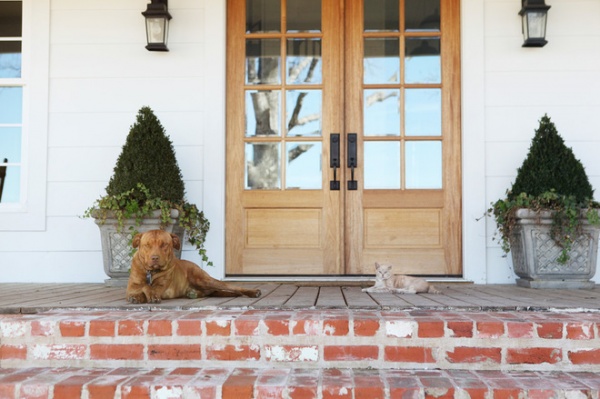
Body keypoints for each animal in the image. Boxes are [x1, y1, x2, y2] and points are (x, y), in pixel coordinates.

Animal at [126, 230, 260, 304]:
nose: (155, 258)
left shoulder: (160, 287)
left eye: (164, 245)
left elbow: (149, 288)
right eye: (147, 245)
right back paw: (193, 293)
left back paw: (253, 292)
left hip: (203, 279)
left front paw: (149, 296)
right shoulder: (132, 286)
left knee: (234, 288)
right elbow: (143, 286)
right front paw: (137, 297)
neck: (151, 272)